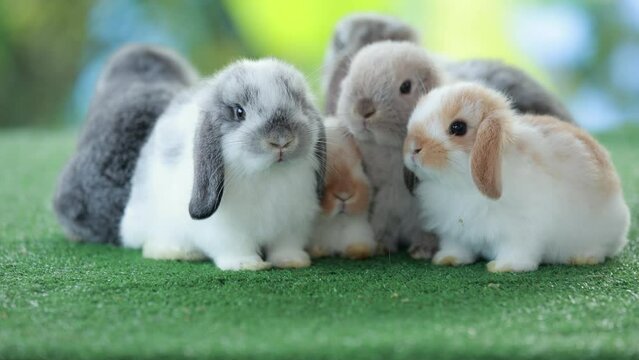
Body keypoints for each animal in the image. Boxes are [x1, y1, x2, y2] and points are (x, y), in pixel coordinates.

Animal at [122, 58, 328, 270]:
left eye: (301, 105)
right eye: (239, 112)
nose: (281, 140)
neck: (270, 174)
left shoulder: (292, 225)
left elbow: (286, 246)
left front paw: (292, 261)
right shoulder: (228, 232)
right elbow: (237, 247)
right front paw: (247, 264)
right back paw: (178, 253)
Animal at [308, 116, 378, 260]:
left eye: (363, 166)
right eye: (322, 169)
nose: (344, 195)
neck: (336, 222)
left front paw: (357, 252)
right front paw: (319, 251)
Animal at [404, 83, 632, 272]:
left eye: (458, 127)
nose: (413, 149)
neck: (458, 184)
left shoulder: (522, 231)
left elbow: (518, 251)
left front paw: (504, 267)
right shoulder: (455, 232)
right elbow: (457, 247)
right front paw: (447, 259)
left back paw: (583, 258)